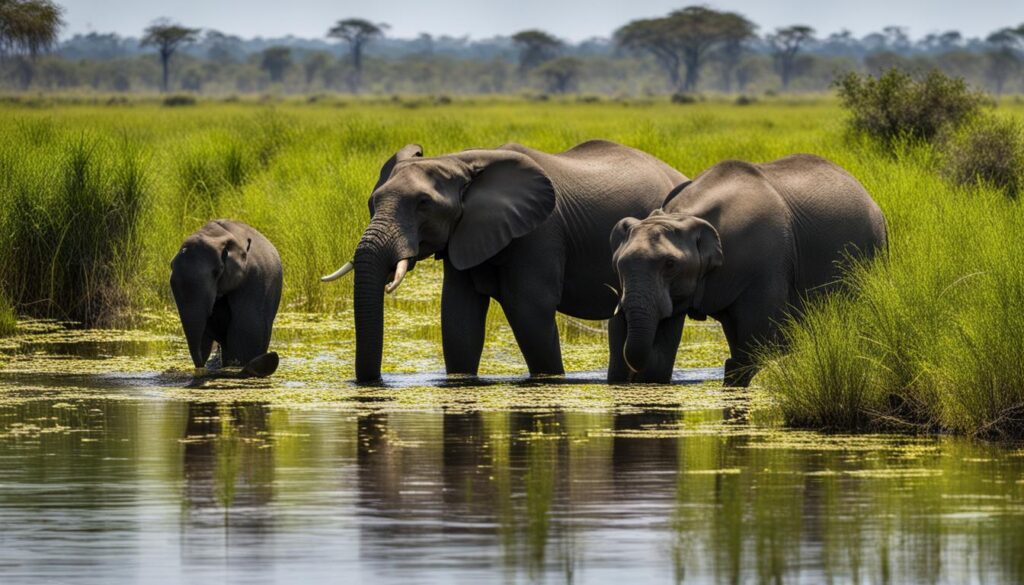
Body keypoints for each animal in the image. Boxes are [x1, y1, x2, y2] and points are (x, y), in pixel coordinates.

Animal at [319, 139, 688, 383]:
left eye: (423, 203)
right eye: (372, 202)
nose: (374, 382)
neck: (461, 161)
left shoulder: (540, 232)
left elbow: (530, 313)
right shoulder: (465, 234)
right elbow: (458, 318)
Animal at [606, 153, 888, 387]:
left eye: (670, 264)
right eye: (617, 264)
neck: (683, 216)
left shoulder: (767, 262)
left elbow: (758, 341)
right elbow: (661, 355)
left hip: (870, 253)